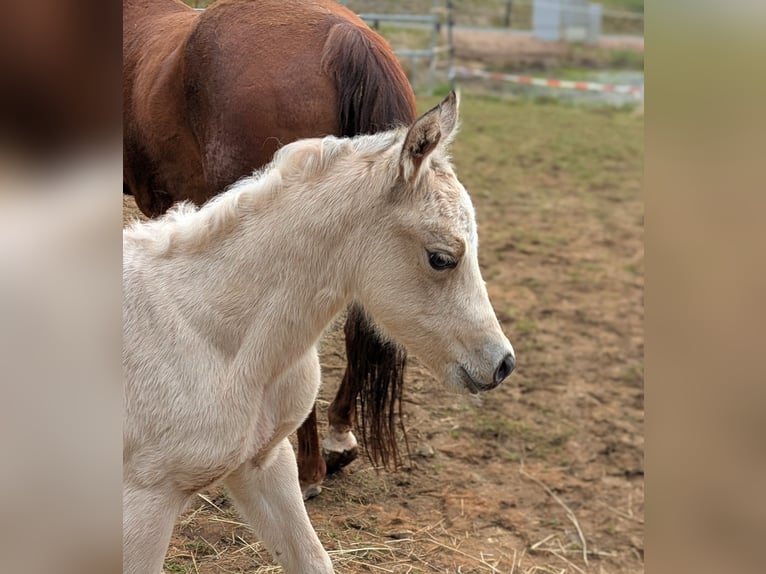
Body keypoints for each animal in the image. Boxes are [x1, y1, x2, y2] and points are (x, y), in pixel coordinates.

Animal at [123, 91, 515, 574]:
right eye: (442, 258)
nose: (502, 363)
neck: (212, 335)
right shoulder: (144, 504)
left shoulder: (263, 464)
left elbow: (312, 560)